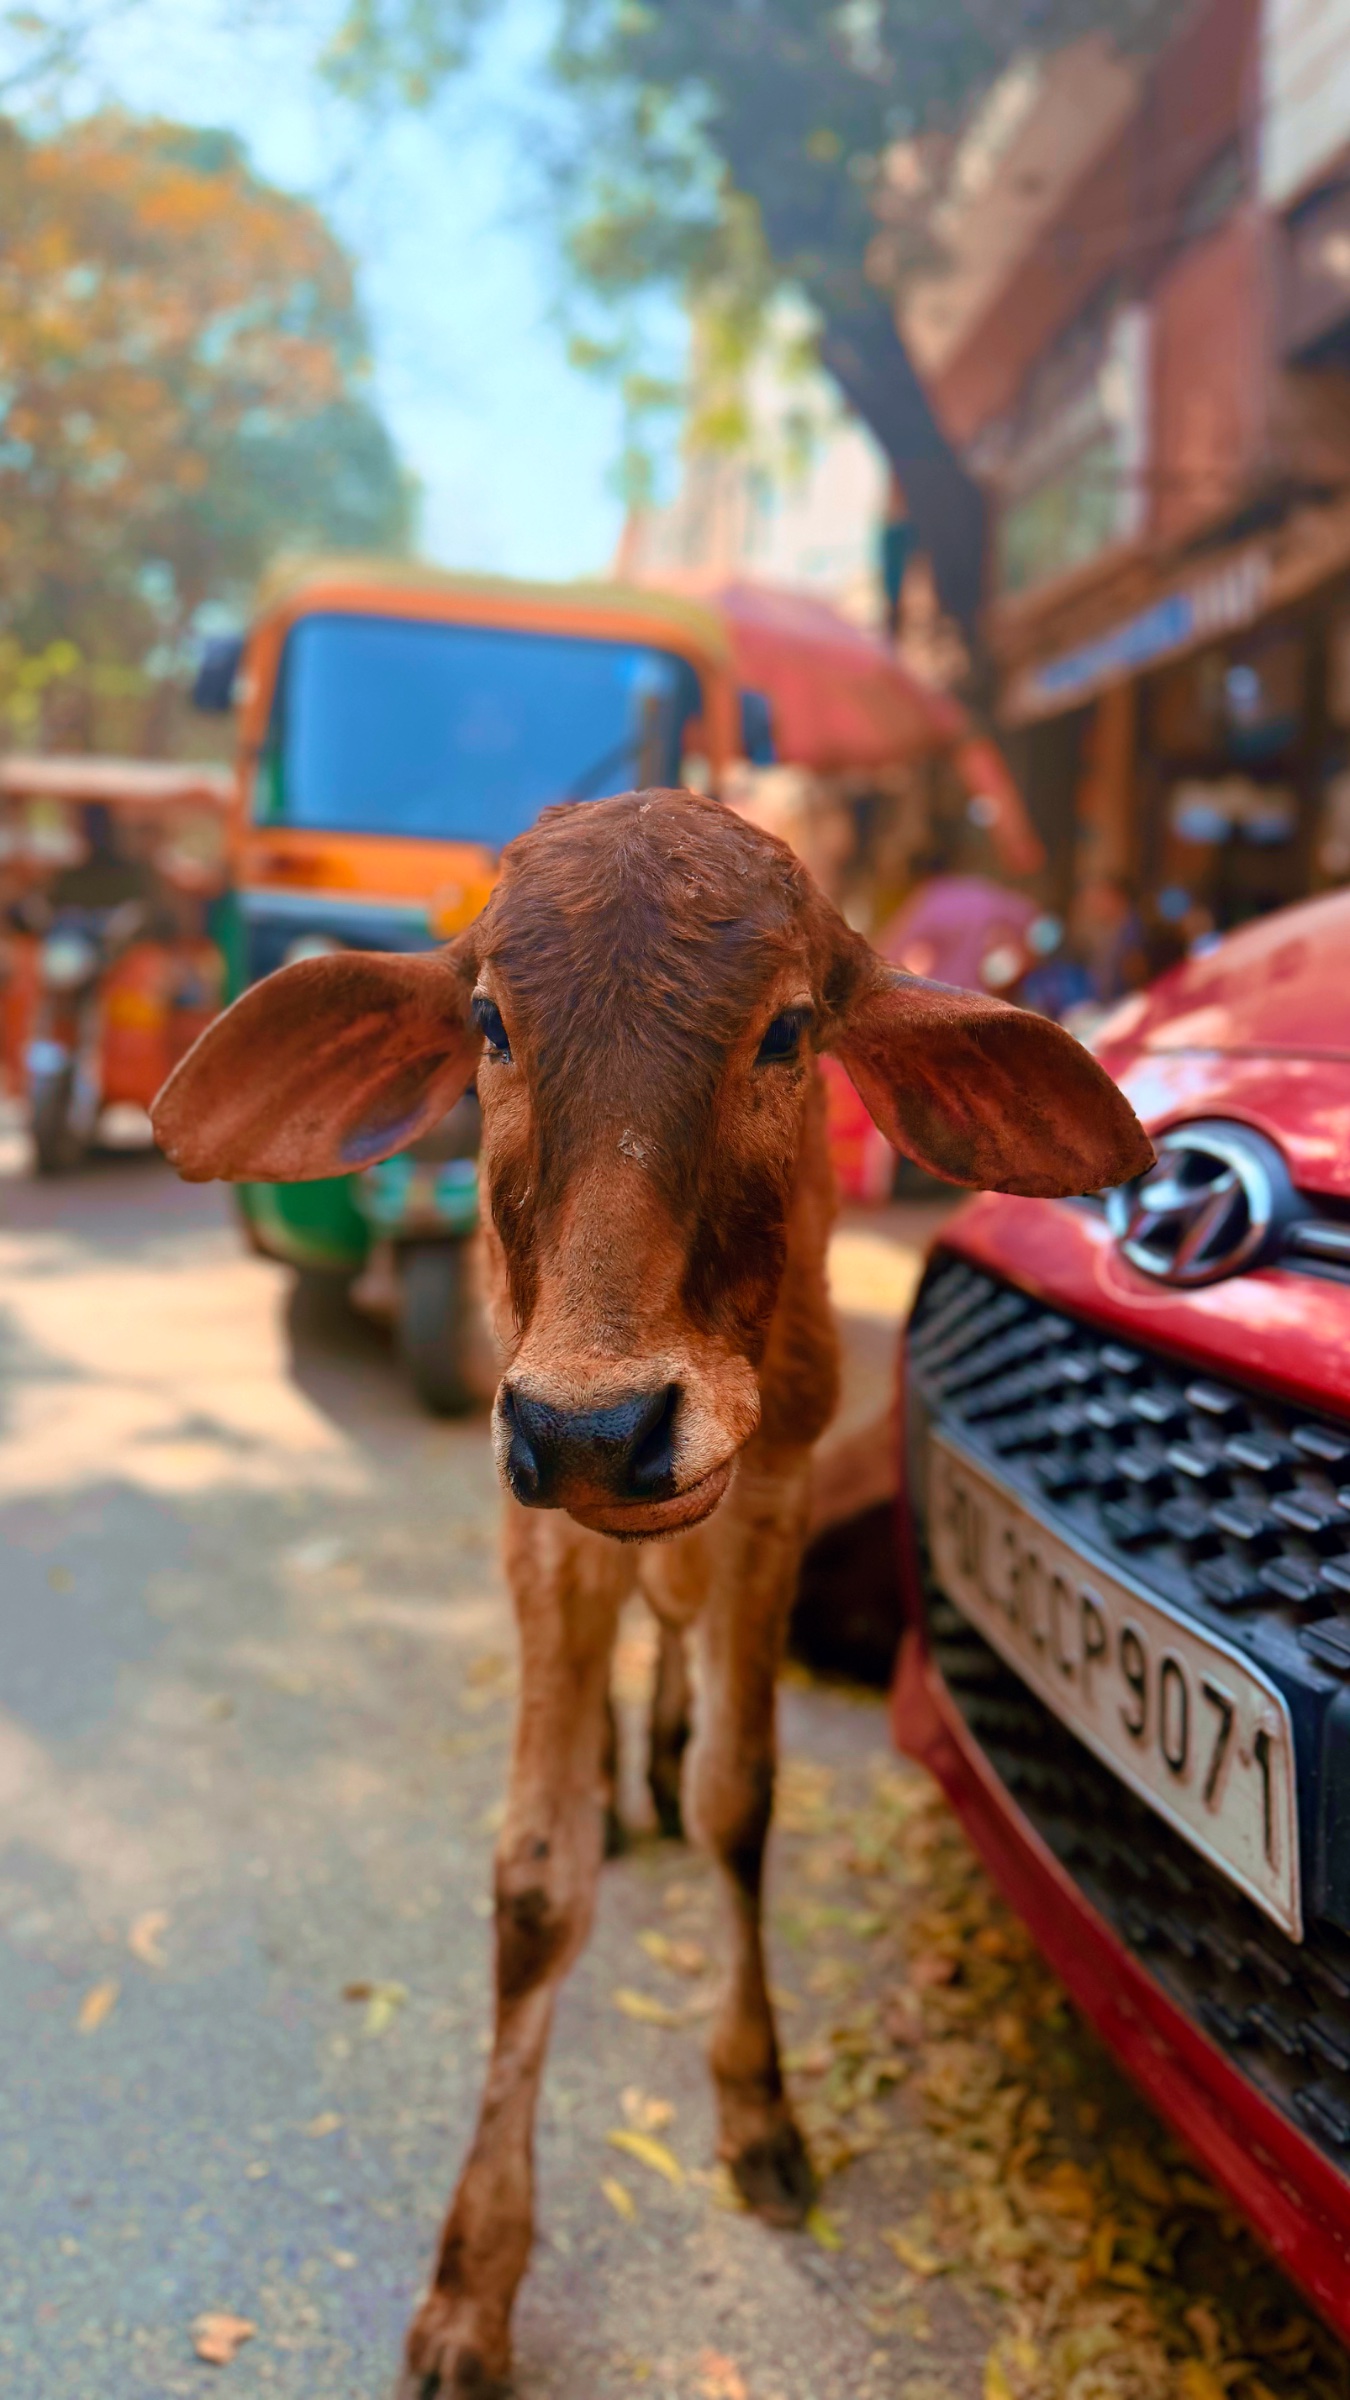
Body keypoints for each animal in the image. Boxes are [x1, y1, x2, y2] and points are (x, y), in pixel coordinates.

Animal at [153, 788, 1151, 2398]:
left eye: (789, 1028)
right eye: (490, 1022)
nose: (596, 1426)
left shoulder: (777, 1493)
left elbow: (743, 1802)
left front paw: (758, 2106)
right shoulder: (539, 1527)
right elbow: (532, 1878)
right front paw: (472, 2283)